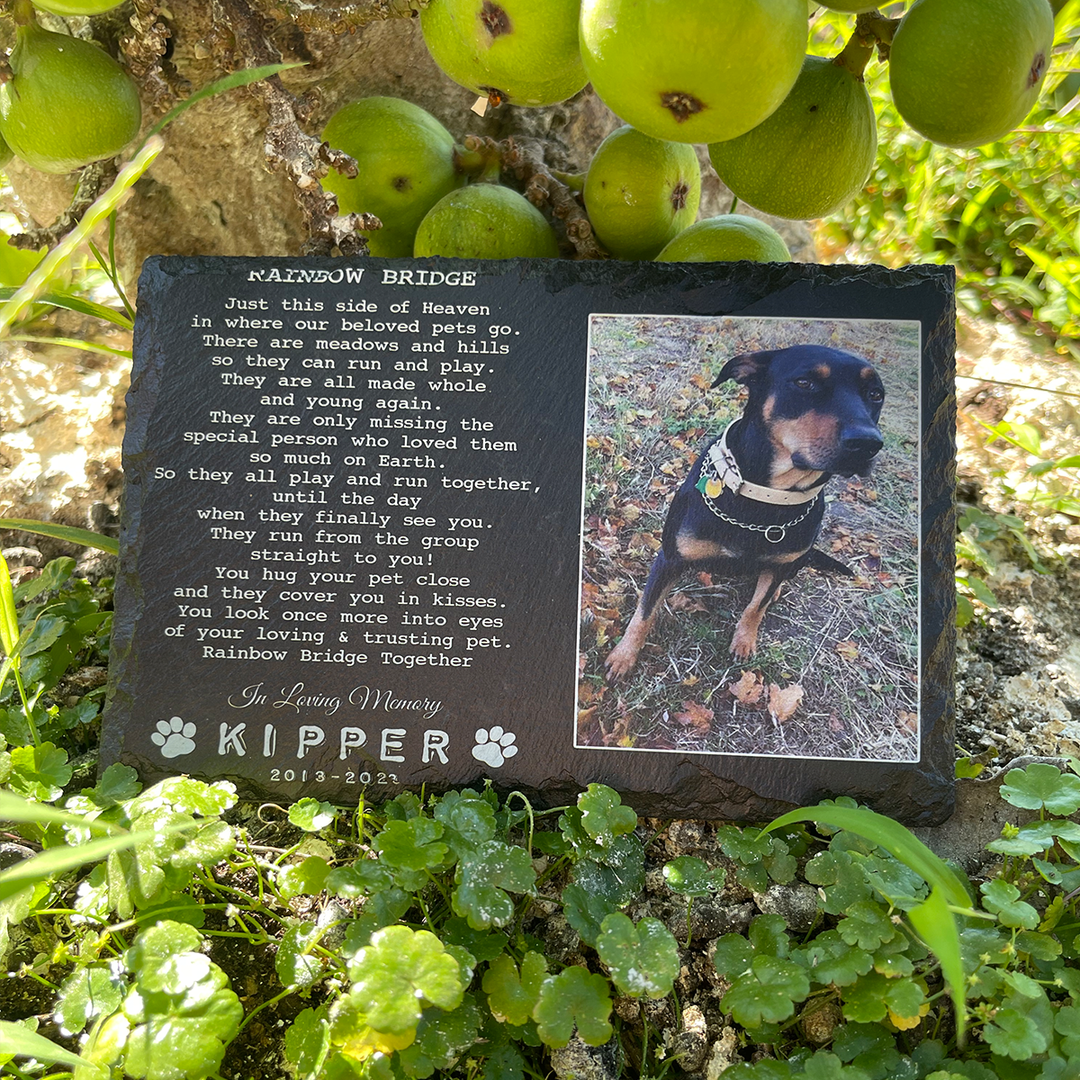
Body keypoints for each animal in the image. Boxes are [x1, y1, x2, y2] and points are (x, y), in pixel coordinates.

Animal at [604, 345, 881, 678]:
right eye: (805, 383)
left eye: (876, 394)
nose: (868, 443)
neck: (767, 497)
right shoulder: (669, 559)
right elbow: (644, 613)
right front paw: (623, 657)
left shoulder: (781, 564)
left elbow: (755, 608)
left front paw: (744, 641)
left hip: (797, 561)